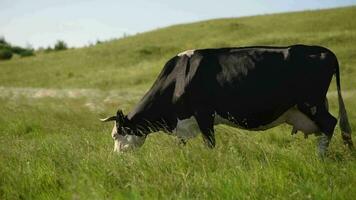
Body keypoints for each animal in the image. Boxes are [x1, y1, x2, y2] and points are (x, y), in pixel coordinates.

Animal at [101, 44, 352, 155]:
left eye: (115, 135)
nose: (117, 158)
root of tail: (323, 50)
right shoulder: (184, 123)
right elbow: (182, 144)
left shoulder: (204, 113)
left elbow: (210, 143)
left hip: (311, 103)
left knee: (330, 123)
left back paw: (320, 157)